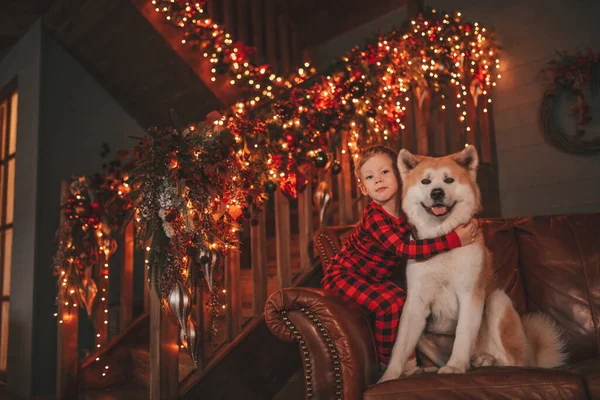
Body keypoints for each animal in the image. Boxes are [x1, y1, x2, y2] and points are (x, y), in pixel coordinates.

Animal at [380, 145, 568, 382]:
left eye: (449, 180)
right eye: (425, 181)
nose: (437, 193)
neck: (442, 241)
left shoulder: (470, 294)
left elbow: (463, 333)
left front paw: (455, 366)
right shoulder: (416, 303)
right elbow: (401, 346)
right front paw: (387, 378)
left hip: (497, 301)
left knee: (509, 361)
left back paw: (484, 360)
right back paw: (431, 368)